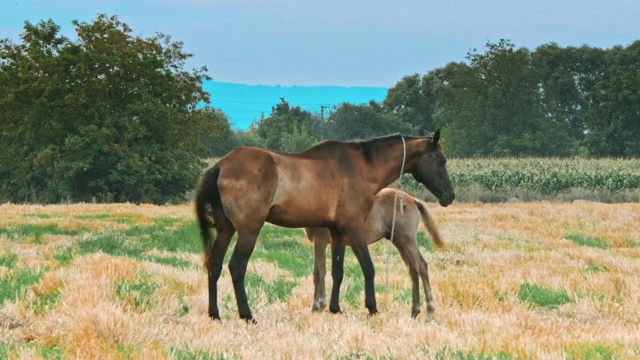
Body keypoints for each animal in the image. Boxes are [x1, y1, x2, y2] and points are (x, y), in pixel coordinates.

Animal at [195, 130, 456, 324]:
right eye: (442, 161)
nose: (449, 196)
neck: (359, 167)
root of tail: (219, 166)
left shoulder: (337, 232)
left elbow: (336, 271)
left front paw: (334, 308)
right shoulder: (353, 229)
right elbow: (368, 268)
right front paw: (372, 309)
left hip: (225, 230)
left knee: (215, 265)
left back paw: (214, 314)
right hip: (249, 231)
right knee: (237, 267)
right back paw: (247, 315)